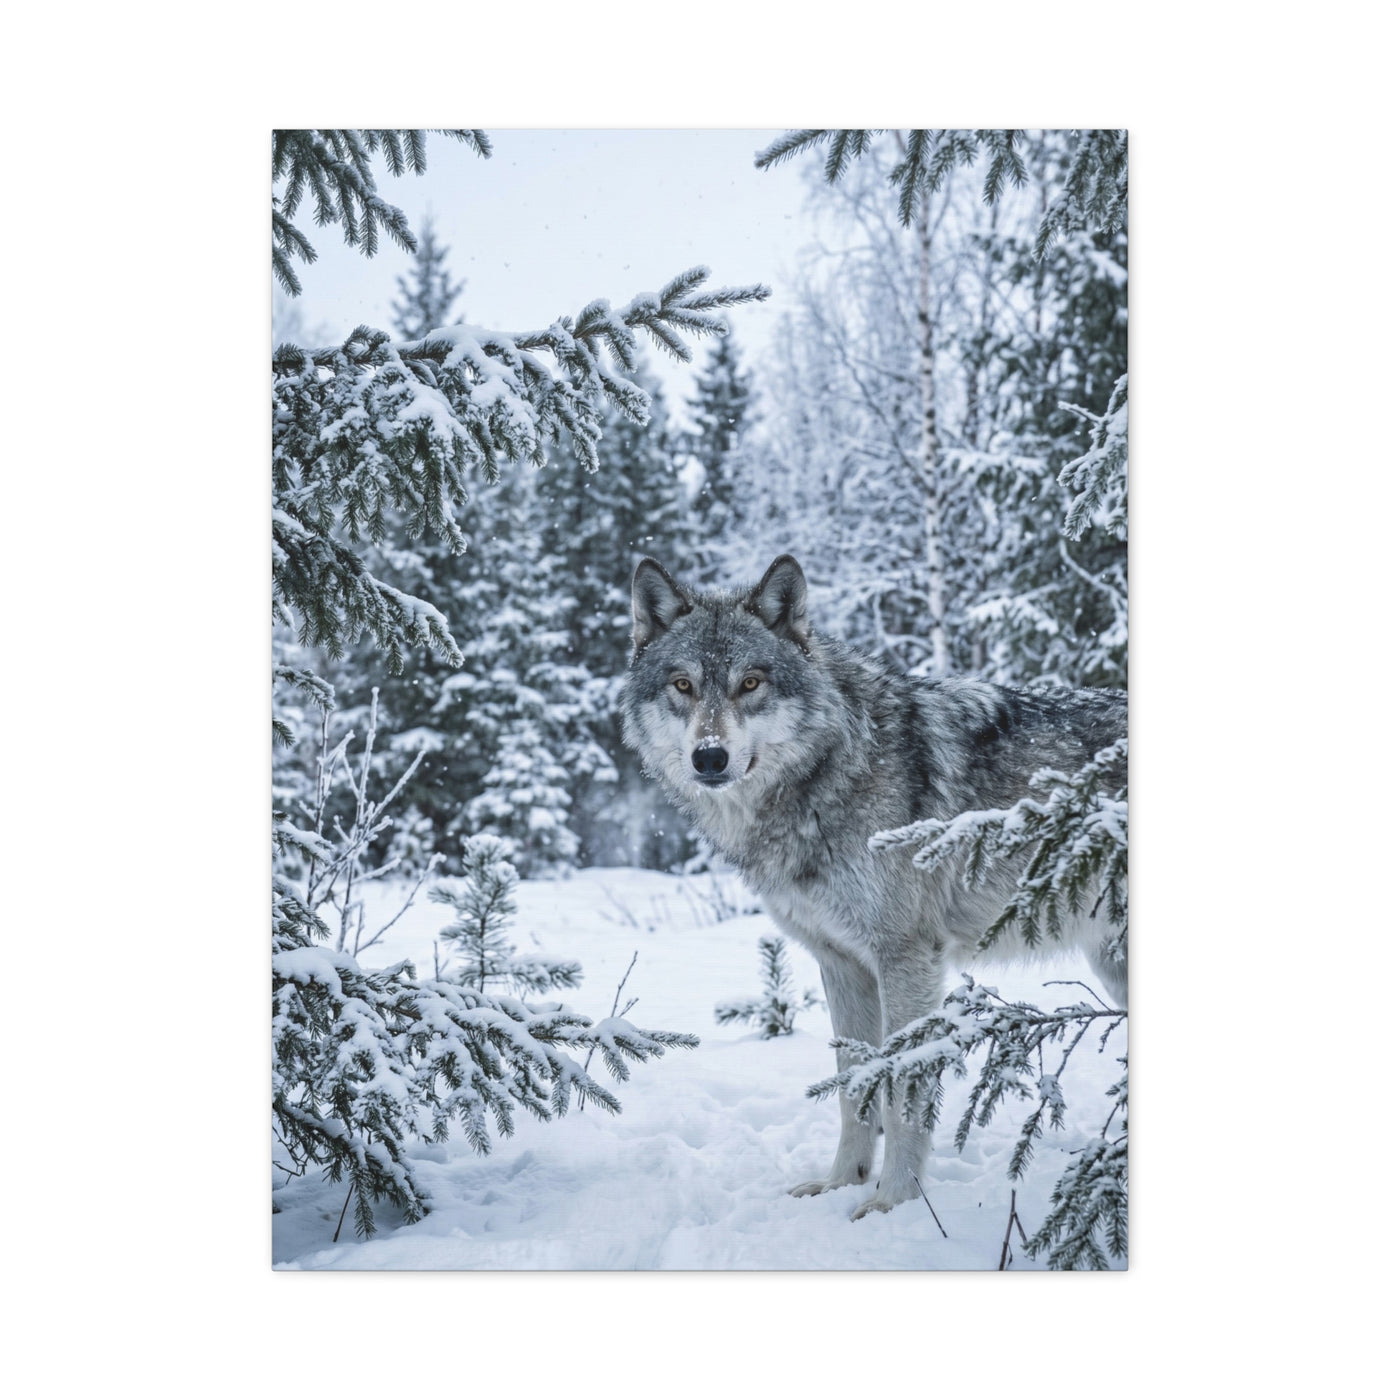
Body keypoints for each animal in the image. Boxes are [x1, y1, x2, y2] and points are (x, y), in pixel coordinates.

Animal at [618, 554, 1127, 1220]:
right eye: (682, 685)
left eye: (750, 683)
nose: (709, 757)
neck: (832, 773)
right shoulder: (841, 963)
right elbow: (852, 1085)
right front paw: (840, 1184)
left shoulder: (905, 958)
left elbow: (904, 1087)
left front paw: (892, 1204)